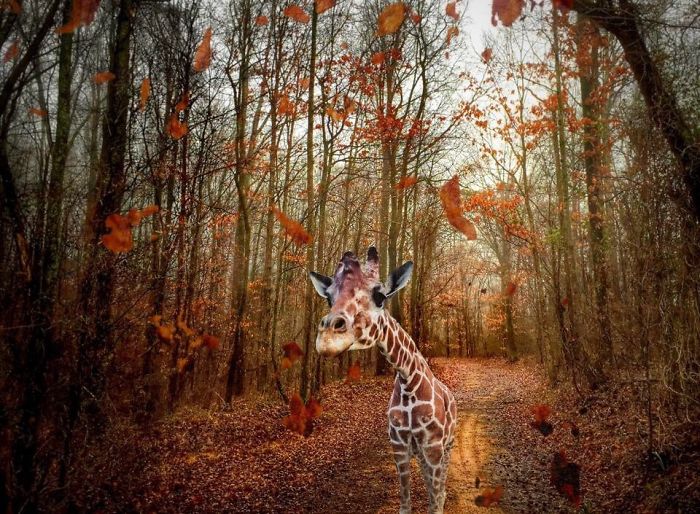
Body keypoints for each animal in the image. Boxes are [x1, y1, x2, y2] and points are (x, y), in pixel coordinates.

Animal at [309, 247, 457, 514]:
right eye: (329, 298)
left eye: (380, 296)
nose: (327, 339)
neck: (409, 384)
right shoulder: (399, 446)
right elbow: (406, 504)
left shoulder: (433, 447)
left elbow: (435, 501)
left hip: (447, 446)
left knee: (440, 488)